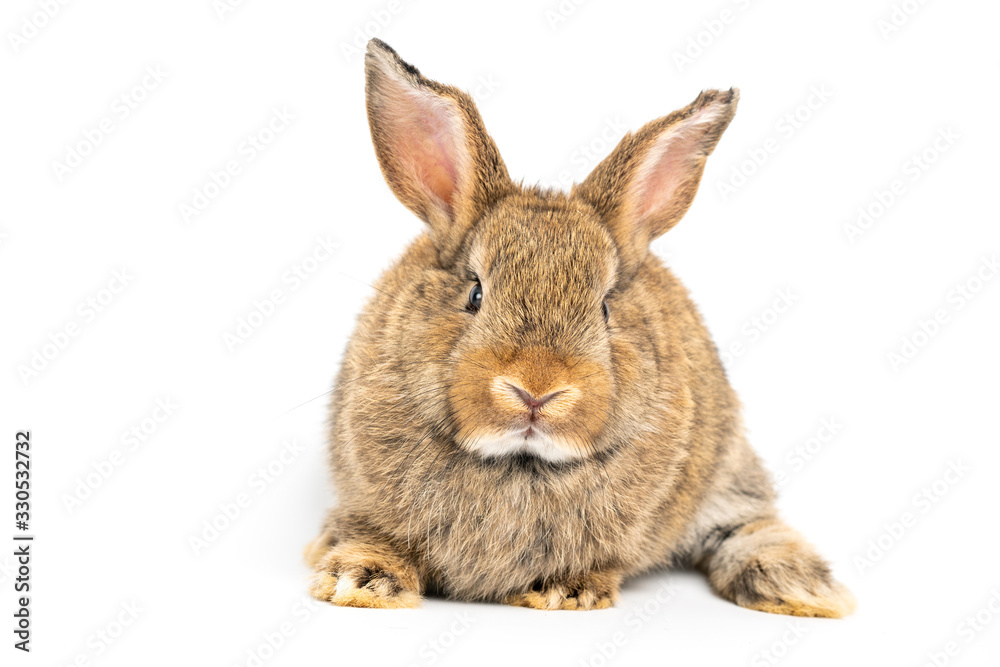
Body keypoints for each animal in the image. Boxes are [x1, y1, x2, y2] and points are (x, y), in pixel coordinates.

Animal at [308, 39, 856, 620]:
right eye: (475, 294)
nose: (536, 391)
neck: (520, 463)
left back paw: (800, 589)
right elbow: (373, 536)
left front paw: (565, 591)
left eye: (606, 308)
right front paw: (359, 581)